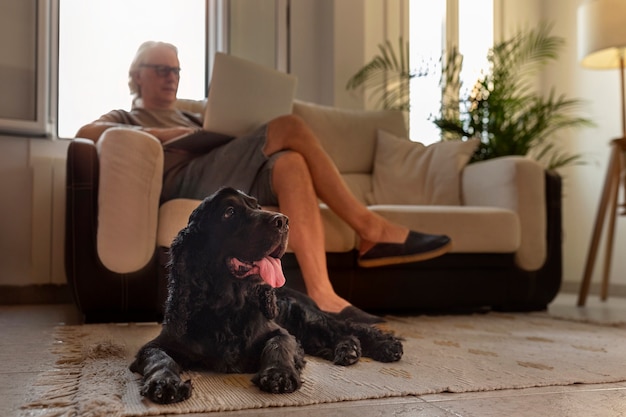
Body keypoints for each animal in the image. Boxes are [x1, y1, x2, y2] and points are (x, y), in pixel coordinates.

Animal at [130, 187, 402, 402]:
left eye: (258, 206)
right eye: (229, 212)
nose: (284, 221)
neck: (228, 306)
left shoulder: (283, 333)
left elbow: (278, 344)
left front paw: (279, 374)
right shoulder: (160, 343)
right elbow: (159, 357)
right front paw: (165, 382)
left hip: (305, 316)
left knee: (347, 328)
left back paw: (384, 346)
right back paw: (347, 350)